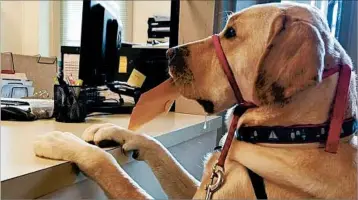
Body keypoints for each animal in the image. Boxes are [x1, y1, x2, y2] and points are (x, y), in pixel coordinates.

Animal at [32, 2, 356, 199]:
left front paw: (61, 141)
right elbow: (159, 148)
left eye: (231, 33)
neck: (291, 134)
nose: (168, 53)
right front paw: (114, 131)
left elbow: (107, 165)